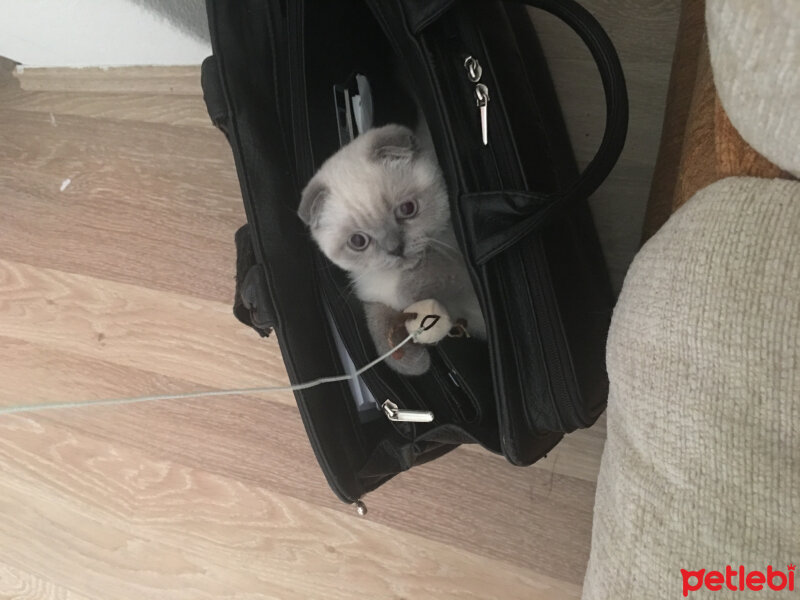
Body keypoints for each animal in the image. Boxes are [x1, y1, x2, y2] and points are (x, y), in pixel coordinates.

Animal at [298, 123, 484, 372]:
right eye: (358, 241)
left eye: (407, 209)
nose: (395, 249)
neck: (392, 277)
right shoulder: (371, 296)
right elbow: (379, 328)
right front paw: (413, 360)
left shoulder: (461, 265)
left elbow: (424, 277)